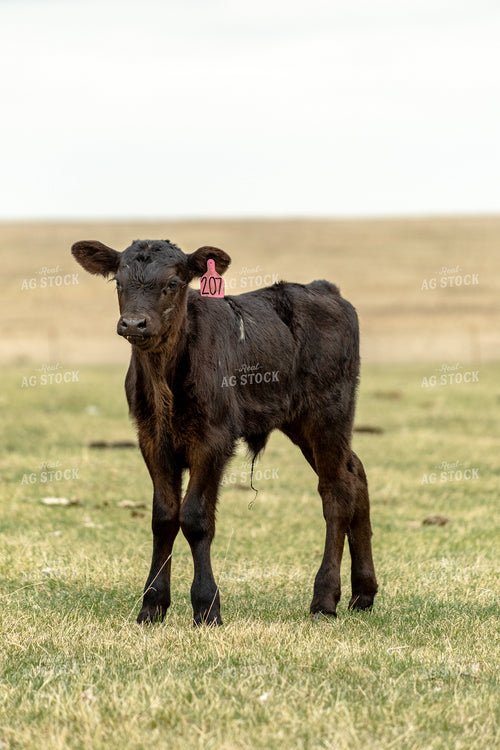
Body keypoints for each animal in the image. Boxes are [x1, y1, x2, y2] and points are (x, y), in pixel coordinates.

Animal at [71, 238, 378, 625]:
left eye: (173, 283)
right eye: (118, 283)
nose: (134, 323)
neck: (164, 380)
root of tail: (323, 288)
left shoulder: (213, 439)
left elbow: (195, 518)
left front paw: (206, 606)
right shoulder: (151, 439)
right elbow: (164, 517)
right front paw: (152, 605)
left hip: (328, 414)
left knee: (336, 491)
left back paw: (325, 599)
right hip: (302, 422)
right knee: (356, 473)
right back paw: (363, 593)